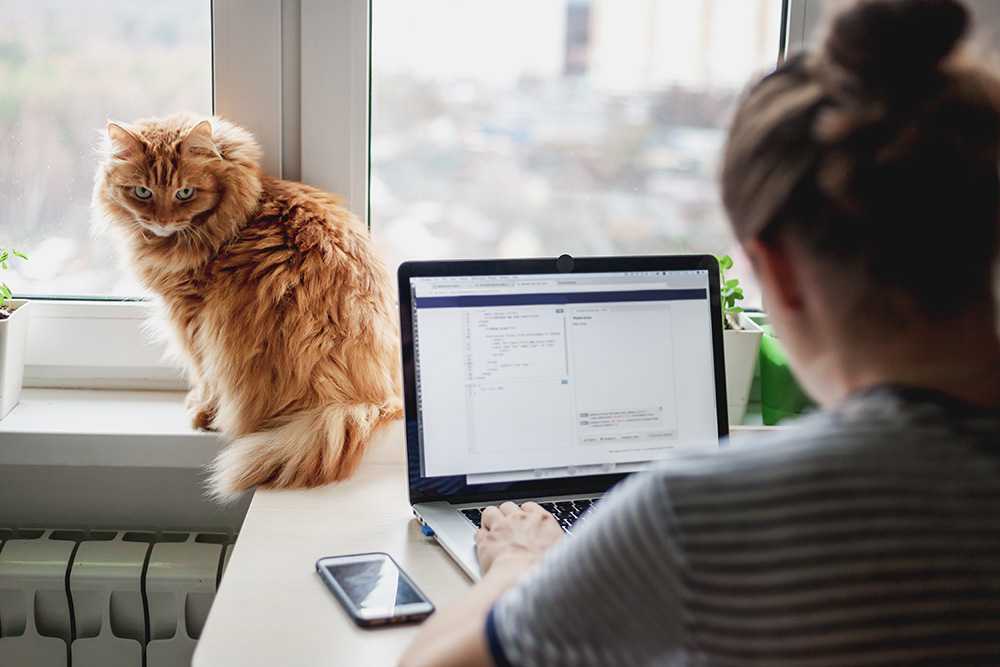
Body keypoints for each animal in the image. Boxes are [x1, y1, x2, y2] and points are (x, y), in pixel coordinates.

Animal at [93, 115, 402, 500]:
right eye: (142, 192)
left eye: (184, 193)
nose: (161, 222)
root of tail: (371, 400)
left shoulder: (192, 319)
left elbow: (203, 374)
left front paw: (202, 411)